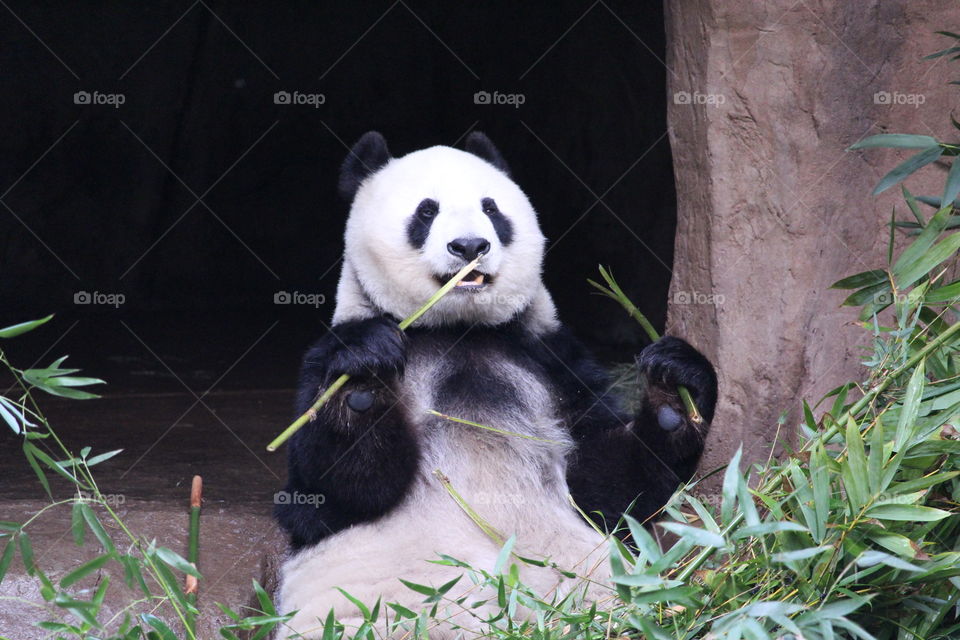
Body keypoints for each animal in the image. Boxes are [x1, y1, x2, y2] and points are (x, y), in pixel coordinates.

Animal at [274, 131, 717, 638]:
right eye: (426, 211)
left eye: (491, 208)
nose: (470, 245)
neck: (459, 330)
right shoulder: (329, 357)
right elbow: (336, 491)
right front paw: (363, 382)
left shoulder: (552, 361)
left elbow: (605, 483)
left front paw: (675, 393)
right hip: (375, 597)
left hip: (594, 582)